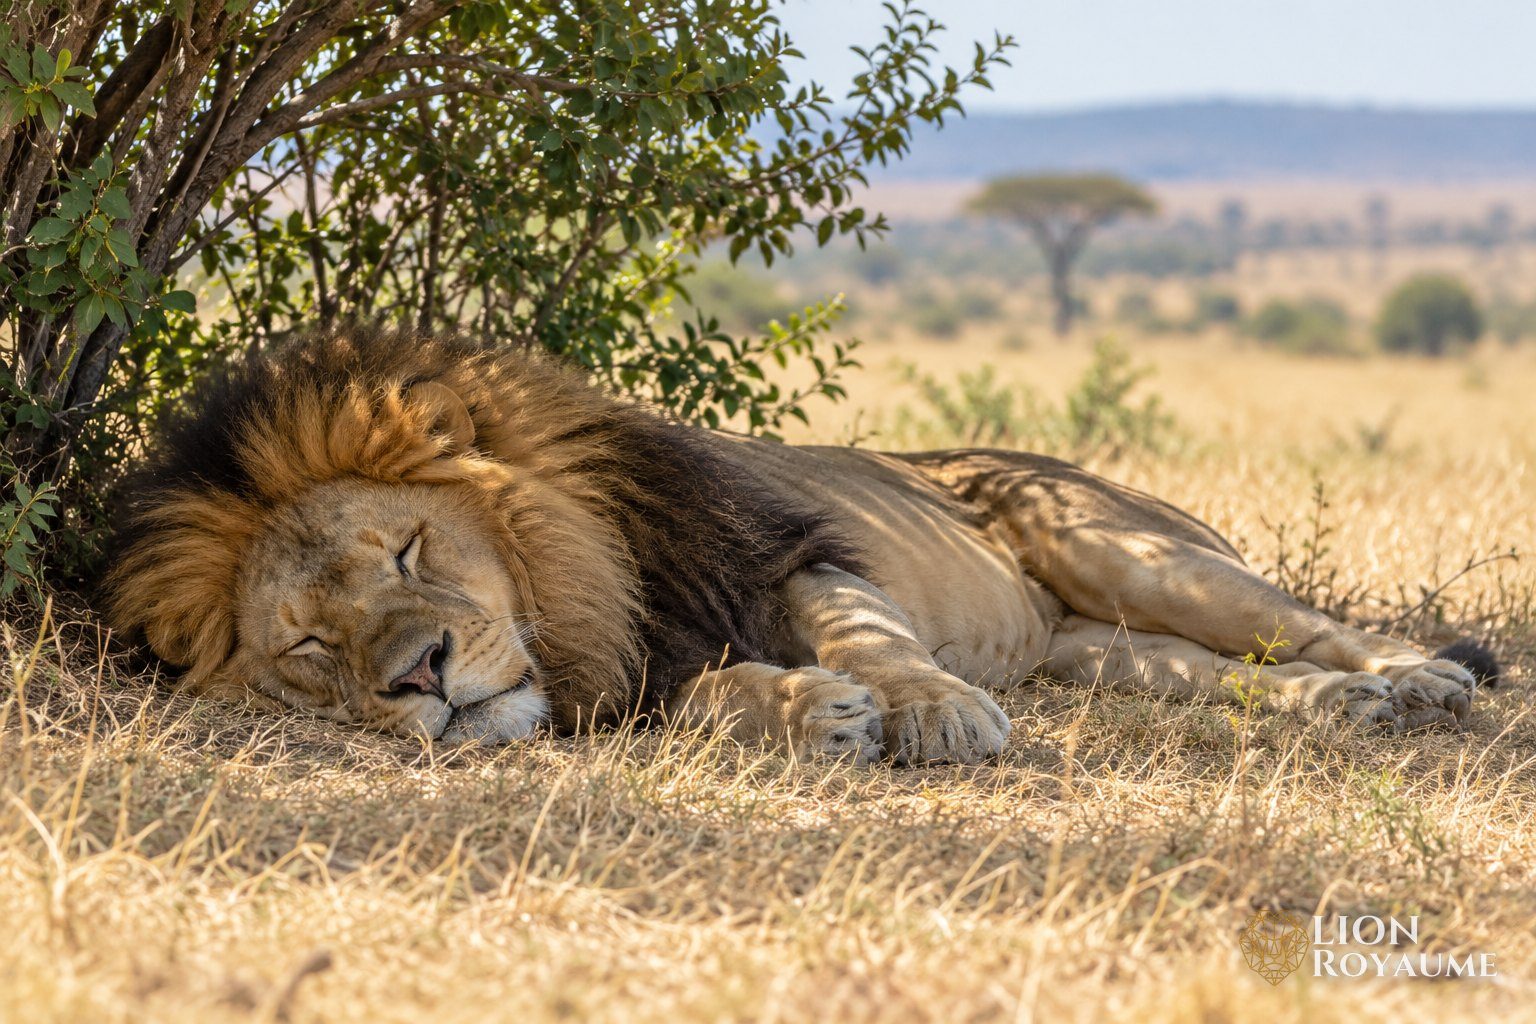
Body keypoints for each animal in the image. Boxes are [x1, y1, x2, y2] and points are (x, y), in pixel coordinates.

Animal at [106, 327, 1494, 763]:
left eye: (404, 550)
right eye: (309, 644)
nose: (419, 676)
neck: (587, 588)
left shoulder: (781, 551)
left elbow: (868, 633)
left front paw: (931, 714)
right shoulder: (639, 674)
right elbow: (715, 696)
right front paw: (807, 713)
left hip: (1123, 545)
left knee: (1305, 622)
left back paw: (1416, 679)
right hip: (1098, 650)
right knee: (1233, 677)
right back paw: (1339, 711)